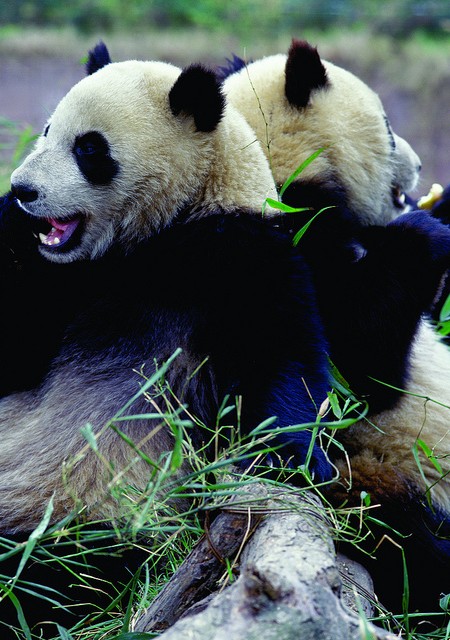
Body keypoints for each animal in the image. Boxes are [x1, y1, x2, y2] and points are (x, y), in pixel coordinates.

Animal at [0, 44, 334, 633]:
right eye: (46, 129)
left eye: (89, 149)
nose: (23, 190)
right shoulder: (62, 287)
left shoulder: (245, 256)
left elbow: (283, 363)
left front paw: (296, 462)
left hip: (85, 520)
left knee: (50, 573)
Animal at [222, 40, 450, 612]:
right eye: (388, 126)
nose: (419, 164)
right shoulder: (288, 248)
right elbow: (364, 369)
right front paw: (426, 232)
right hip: (379, 480)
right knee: (406, 541)